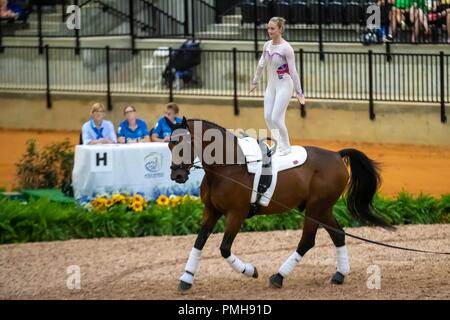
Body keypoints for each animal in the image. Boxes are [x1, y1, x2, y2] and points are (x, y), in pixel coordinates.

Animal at [169, 118, 390, 292]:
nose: (177, 175)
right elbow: (199, 242)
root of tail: (336, 155)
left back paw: (278, 277)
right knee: (338, 234)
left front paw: (250, 271)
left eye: (185, 143)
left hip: (315, 208)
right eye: (170, 145)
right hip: (323, 209)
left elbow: (224, 248)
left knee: (307, 241)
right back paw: (340, 275)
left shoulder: (236, 214)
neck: (227, 168)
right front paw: (186, 278)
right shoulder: (211, 211)